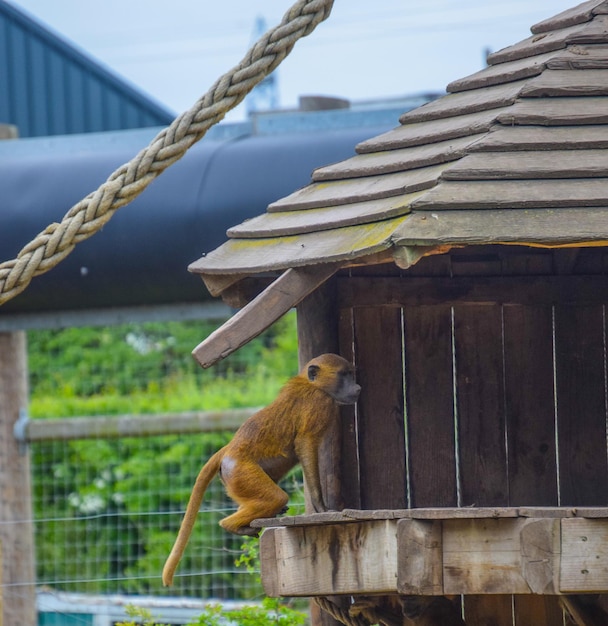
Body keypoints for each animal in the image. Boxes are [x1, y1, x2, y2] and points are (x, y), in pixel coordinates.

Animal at [163, 352, 360, 584]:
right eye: (343, 374)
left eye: (351, 373)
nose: (357, 388)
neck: (314, 384)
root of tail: (229, 449)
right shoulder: (319, 404)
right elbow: (305, 444)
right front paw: (321, 507)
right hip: (241, 472)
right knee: (275, 497)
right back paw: (230, 525)